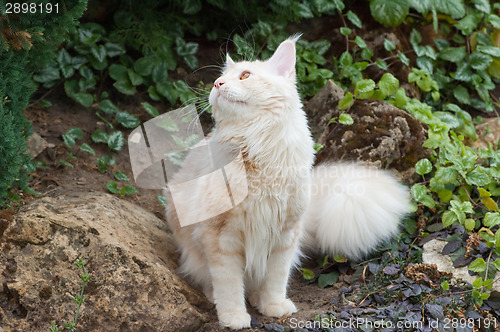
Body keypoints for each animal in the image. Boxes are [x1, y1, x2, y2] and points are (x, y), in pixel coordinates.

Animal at [165, 35, 410, 328]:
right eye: (220, 77)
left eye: (245, 75)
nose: (217, 84)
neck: (255, 147)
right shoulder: (221, 238)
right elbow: (229, 286)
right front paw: (233, 317)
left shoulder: (285, 234)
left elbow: (275, 279)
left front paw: (273, 306)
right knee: (208, 278)